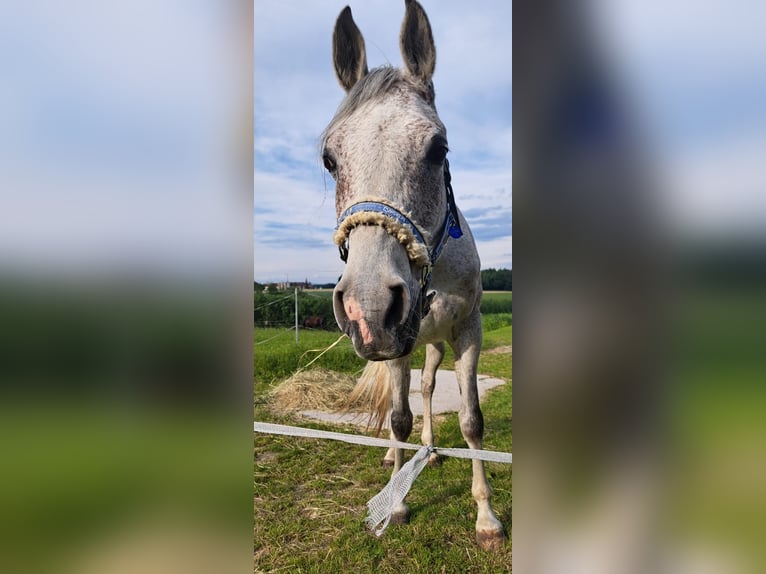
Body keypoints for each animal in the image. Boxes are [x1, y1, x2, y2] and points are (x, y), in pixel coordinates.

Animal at [320, 0, 508, 552]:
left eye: (438, 148)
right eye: (329, 158)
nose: (367, 307)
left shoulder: (467, 330)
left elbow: (471, 420)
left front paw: (487, 517)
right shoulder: (394, 340)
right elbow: (398, 417)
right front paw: (397, 503)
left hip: (433, 341)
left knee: (426, 388)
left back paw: (430, 451)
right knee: (401, 401)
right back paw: (393, 458)